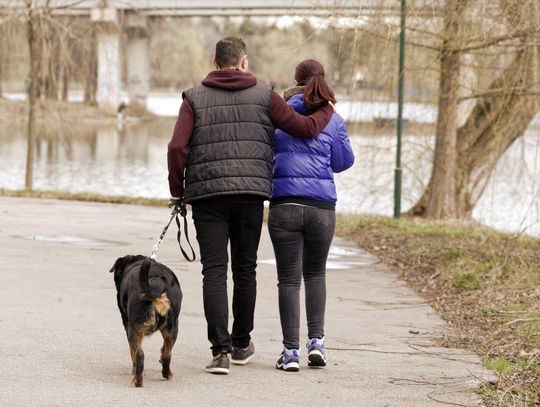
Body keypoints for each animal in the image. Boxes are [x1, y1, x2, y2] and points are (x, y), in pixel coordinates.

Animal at [108, 256, 182, 388]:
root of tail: (157, 281)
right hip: (172, 328)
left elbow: (133, 357)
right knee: (167, 354)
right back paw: (167, 374)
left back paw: (137, 381)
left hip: (134, 330)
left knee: (139, 356)